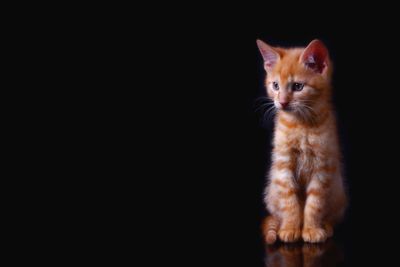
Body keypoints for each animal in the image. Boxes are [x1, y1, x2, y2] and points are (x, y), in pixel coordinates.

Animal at [256, 39, 346, 245]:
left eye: (297, 86)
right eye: (275, 85)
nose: (282, 102)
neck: (301, 124)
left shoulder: (323, 166)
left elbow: (315, 202)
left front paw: (311, 229)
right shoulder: (283, 165)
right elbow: (289, 201)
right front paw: (290, 228)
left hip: (338, 192)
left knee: (331, 216)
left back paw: (326, 226)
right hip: (271, 191)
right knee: (276, 214)